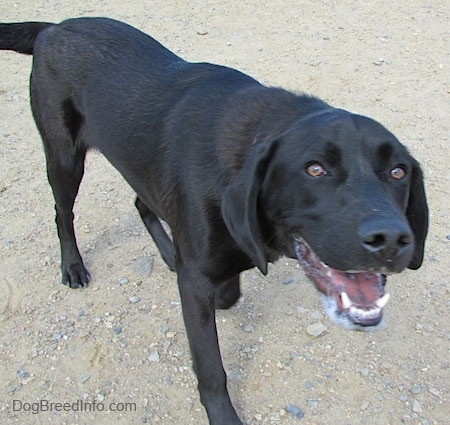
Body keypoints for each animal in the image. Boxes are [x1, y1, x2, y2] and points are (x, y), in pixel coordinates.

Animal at [0, 17, 428, 424]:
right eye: (315, 169)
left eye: (398, 172)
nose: (390, 239)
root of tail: (54, 27)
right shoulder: (196, 282)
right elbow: (210, 366)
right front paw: (223, 415)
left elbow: (229, 290)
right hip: (64, 157)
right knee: (63, 213)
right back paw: (73, 265)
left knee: (141, 201)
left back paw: (167, 252)